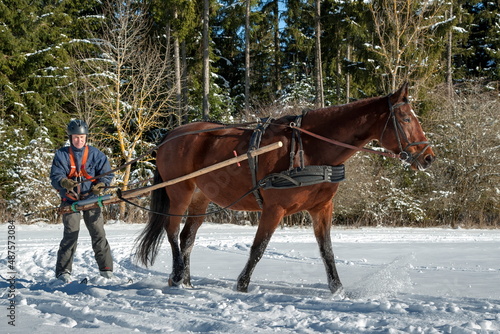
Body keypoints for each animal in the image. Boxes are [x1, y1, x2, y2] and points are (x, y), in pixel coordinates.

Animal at [136, 83, 434, 294]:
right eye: (406, 119)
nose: (429, 157)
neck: (310, 148)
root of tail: (171, 134)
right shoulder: (274, 208)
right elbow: (259, 248)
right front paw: (242, 285)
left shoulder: (322, 208)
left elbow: (327, 250)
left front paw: (337, 289)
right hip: (180, 192)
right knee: (172, 231)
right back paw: (176, 276)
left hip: (201, 196)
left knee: (187, 237)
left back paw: (186, 280)